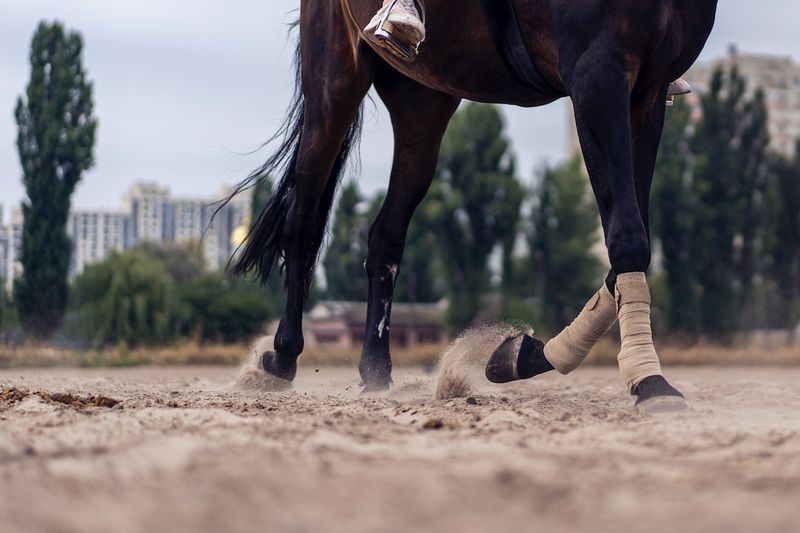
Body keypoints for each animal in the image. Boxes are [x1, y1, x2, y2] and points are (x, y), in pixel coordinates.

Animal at [230, 0, 720, 406]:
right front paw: (649, 381)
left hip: (422, 102)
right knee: (303, 220)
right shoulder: (597, 74)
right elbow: (628, 236)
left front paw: (524, 354)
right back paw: (281, 358)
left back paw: (376, 369)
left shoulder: (647, 91)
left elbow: (630, 238)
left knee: (385, 235)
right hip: (335, 82)